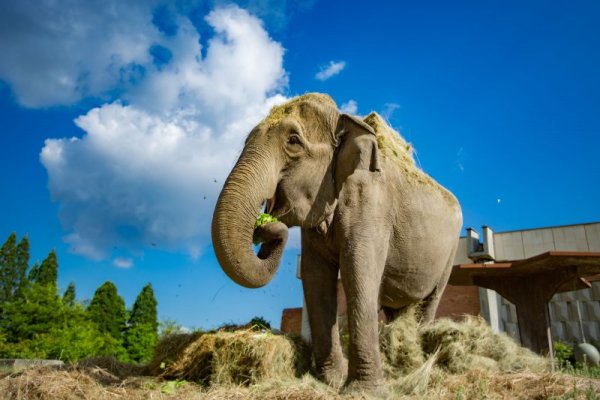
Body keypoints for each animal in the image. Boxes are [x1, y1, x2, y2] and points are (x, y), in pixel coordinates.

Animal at [212, 92, 464, 392]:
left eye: (293, 140)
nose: (264, 224)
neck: (346, 120)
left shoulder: (371, 204)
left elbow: (358, 272)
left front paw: (364, 390)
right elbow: (315, 276)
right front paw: (331, 382)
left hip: (450, 254)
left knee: (429, 302)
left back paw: (416, 367)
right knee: (398, 311)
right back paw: (399, 366)